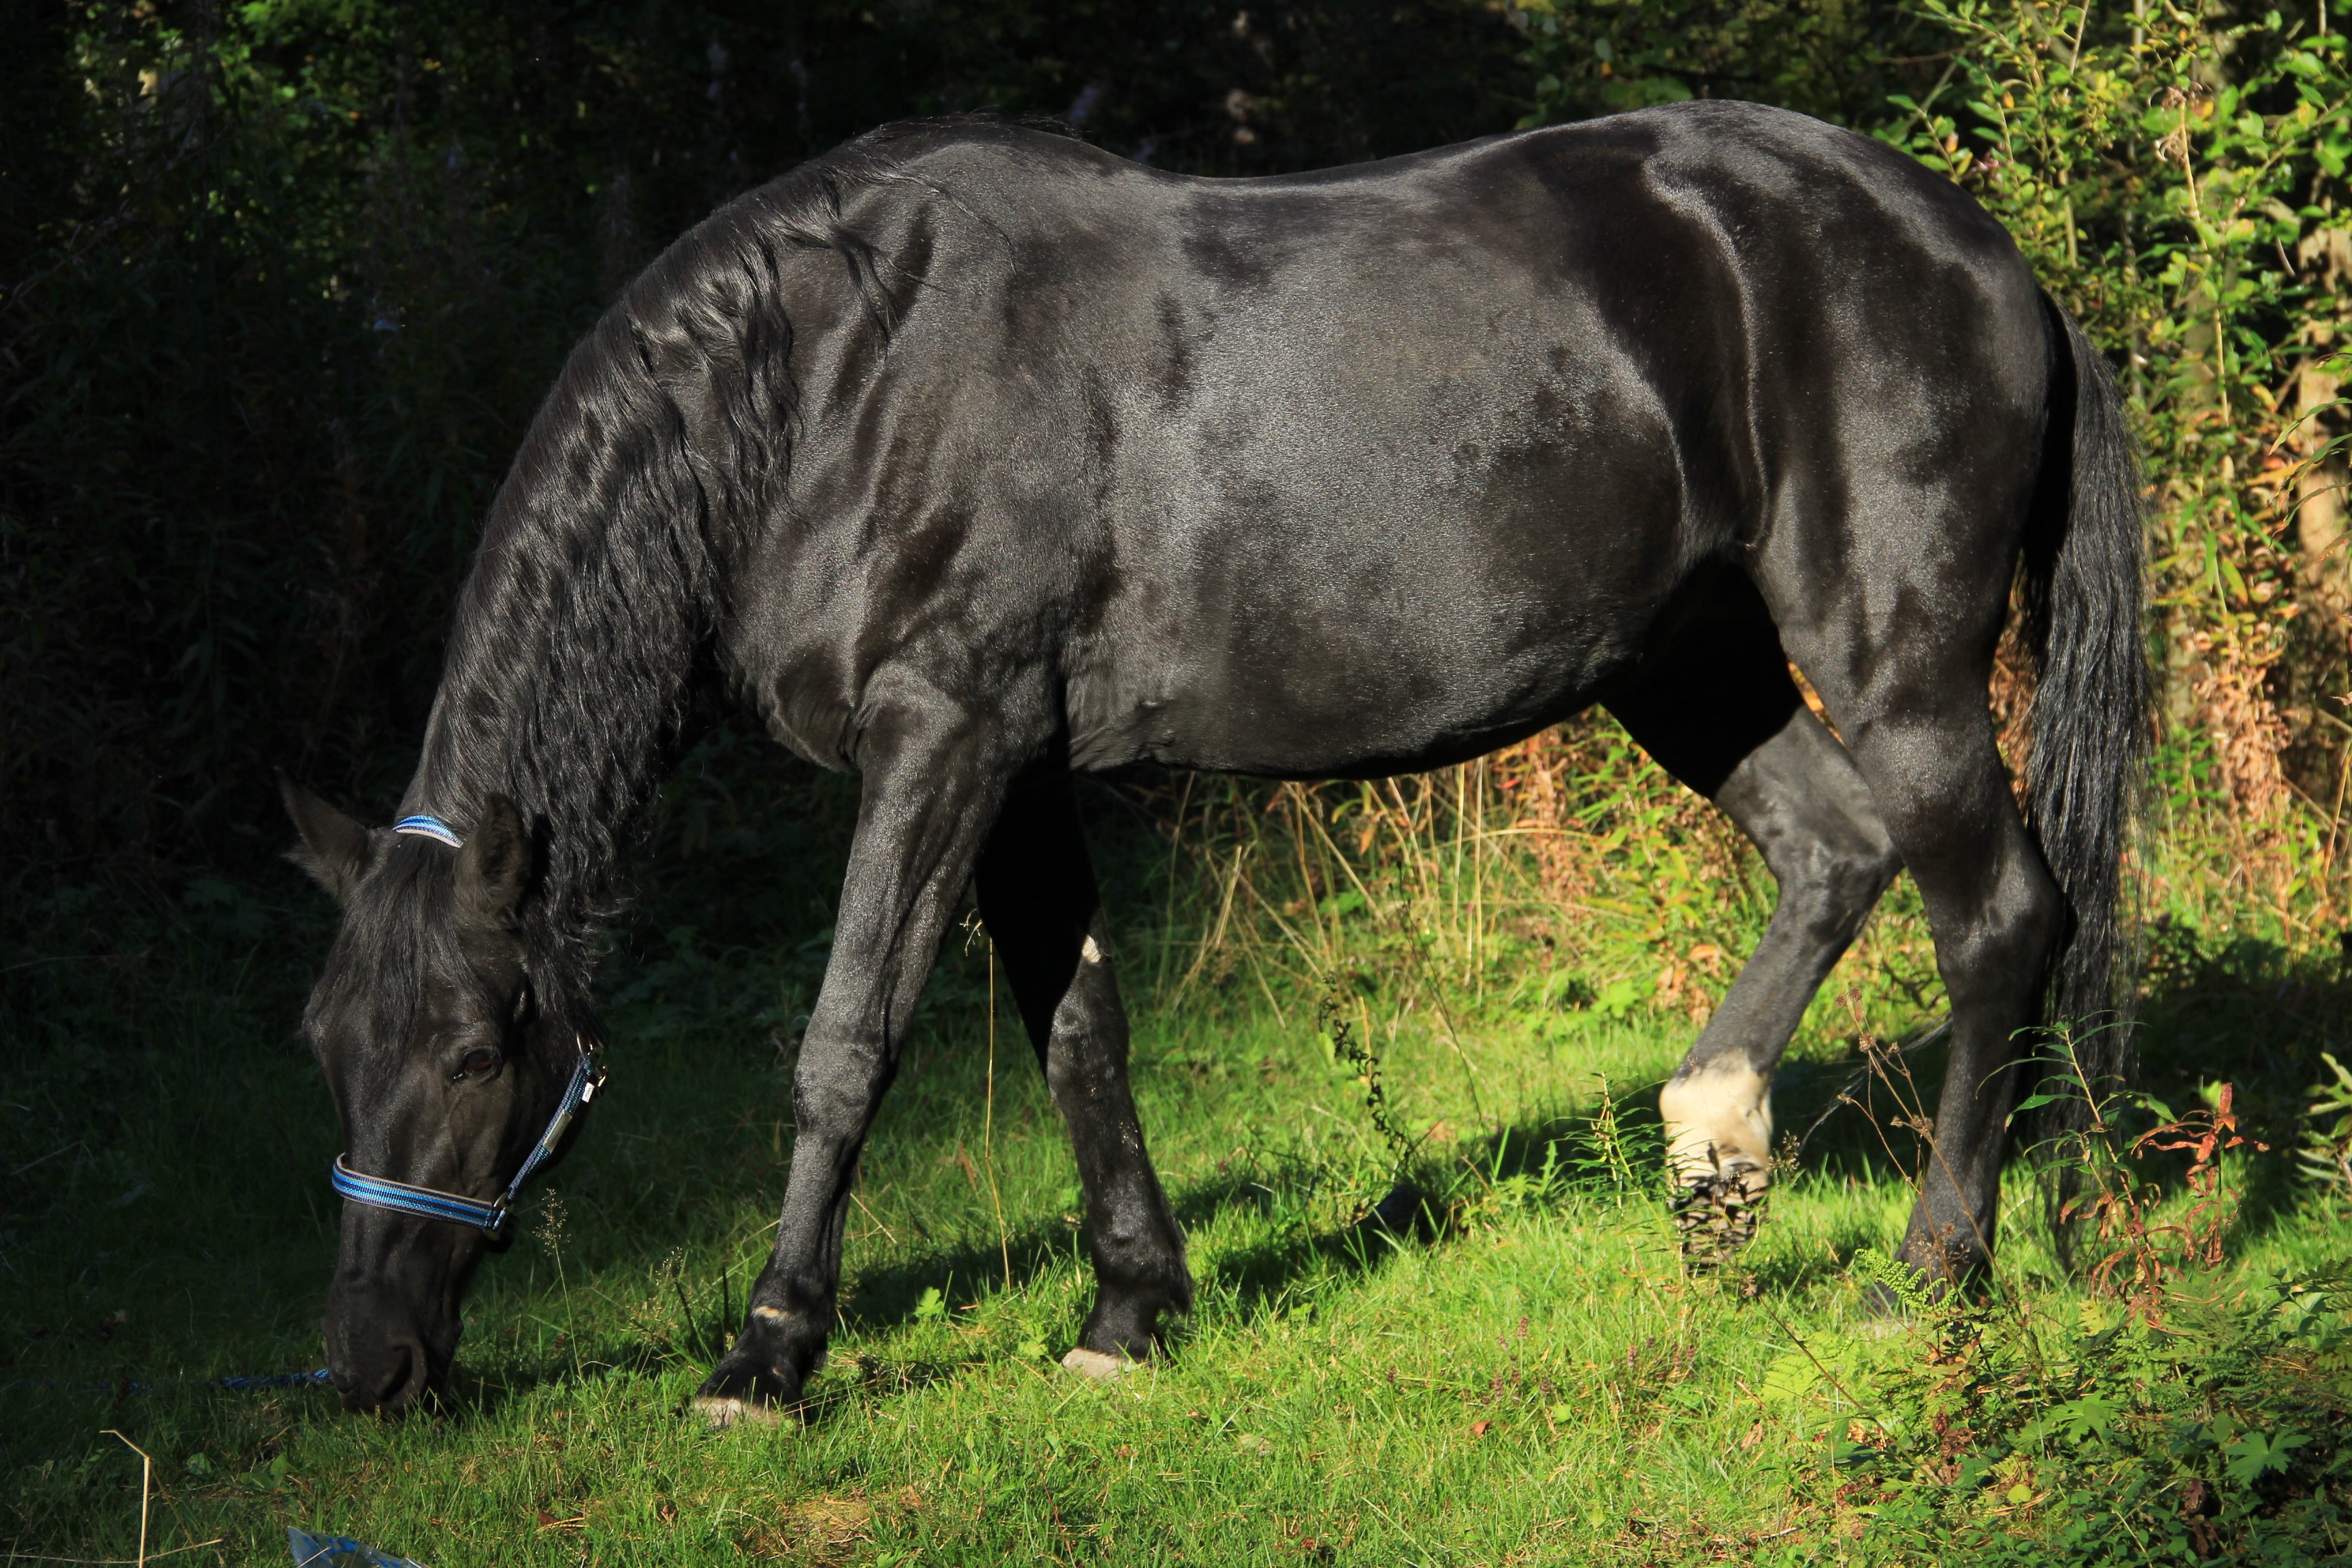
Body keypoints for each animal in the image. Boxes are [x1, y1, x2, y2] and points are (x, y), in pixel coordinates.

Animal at [281, 100, 2144, 1421]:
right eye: (323, 1044)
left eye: (478, 1048)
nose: (367, 1367)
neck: (832, 381)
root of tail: (1984, 257)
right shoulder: (1019, 767)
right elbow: (1079, 1032)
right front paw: (1129, 1311)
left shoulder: (939, 736)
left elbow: (844, 1047)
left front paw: (767, 1357)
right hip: (1684, 664)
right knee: (1834, 853)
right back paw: (1713, 1143)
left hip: (1892, 659)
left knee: (1995, 919)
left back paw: (1927, 1272)